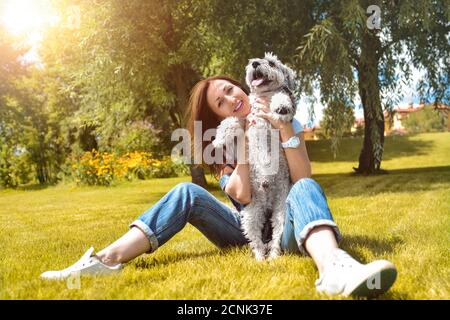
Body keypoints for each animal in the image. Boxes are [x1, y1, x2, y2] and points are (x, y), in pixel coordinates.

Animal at [213, 52, 298, 260]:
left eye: (272, 62)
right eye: (254, 60)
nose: (255, 63)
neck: (263, 95)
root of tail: (267, 205)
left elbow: (281, 96)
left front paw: (281, 107)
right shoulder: (243, 117)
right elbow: (229, 121)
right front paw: (219, 140)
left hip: (281, 212)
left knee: (275, 238)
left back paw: (272, 257)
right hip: (252, 215)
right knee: (256, 241)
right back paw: (260, 259)